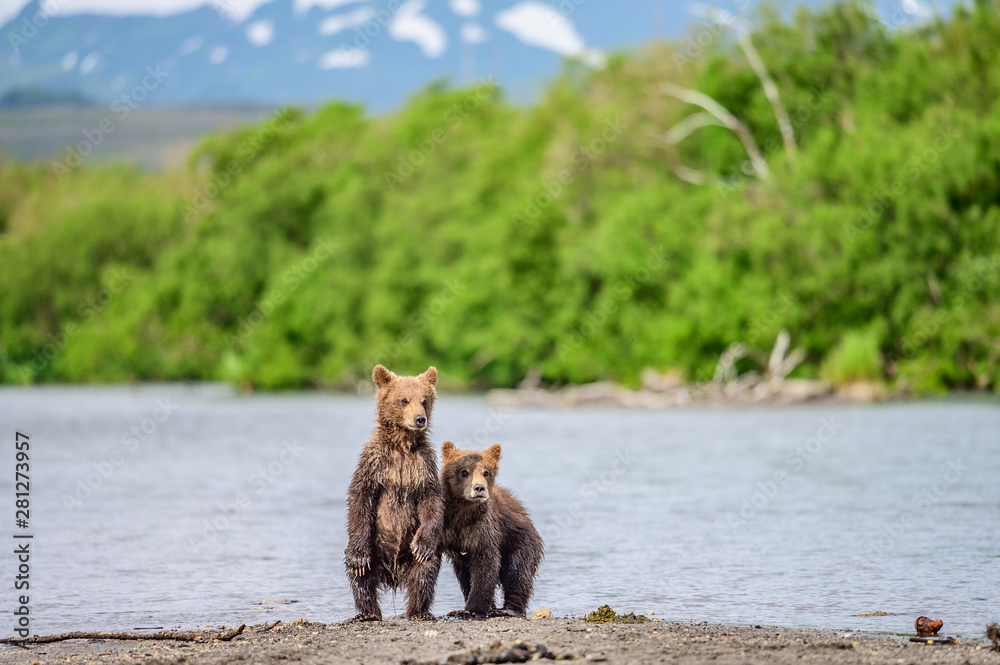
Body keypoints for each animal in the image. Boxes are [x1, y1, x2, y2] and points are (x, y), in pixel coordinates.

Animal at [344, 365, 443, 622]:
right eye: (404, 400)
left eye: (424, 400)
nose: (420, 419)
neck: (403, 445)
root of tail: (393, 574)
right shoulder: (375, 462)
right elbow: (360, 496)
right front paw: (358, 557)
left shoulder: (423, 465)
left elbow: (432, 500)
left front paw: (422, 546)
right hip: (375, 548)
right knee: (361, 578)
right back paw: (368, 612)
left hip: (413, 557)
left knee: (425, 572)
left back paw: (419, 611)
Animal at [439, 441, 543, 618]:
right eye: (464, 472)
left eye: (486, 472)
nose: (479, 488)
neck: (462, 513)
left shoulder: (484, 528)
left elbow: (486, 564)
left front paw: (473, 609)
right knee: (464, 575)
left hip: (520, 540)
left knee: (517, 572)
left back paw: (510, 609)